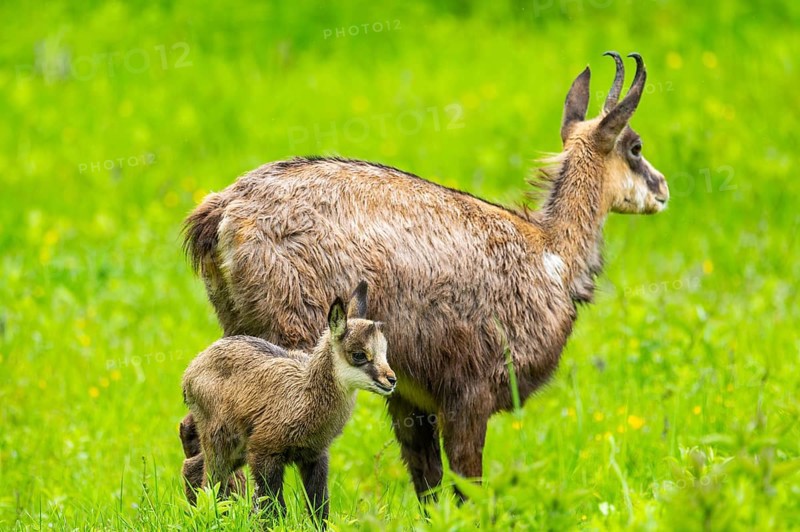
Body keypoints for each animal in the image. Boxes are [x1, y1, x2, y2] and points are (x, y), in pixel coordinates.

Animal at [180, 52, 669, 501]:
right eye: (636, 147)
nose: (662, 189)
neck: (549, 253)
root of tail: (221, 214)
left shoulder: (411, 399)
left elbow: (428, 483)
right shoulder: (470, 393)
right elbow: (466, 483)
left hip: (237, 328)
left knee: (193, 434)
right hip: (291, 335)